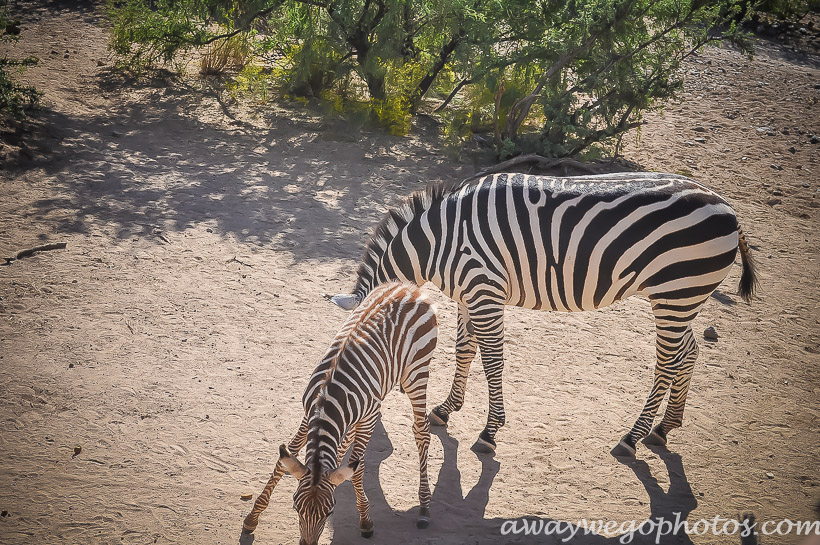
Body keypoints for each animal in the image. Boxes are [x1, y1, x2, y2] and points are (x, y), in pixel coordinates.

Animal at [242, 282, 438, 540]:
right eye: (295, 507)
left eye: (329, 512)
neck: (327, 400)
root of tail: (407, 286)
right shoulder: (308, 412)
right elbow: (289, 451)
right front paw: (253, 516)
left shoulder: (370, 417)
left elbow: (358, 467)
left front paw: (365, 521)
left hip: (417, 371)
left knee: (421, 429)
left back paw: (425, 506)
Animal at [326, 170, 756, 454]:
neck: (437, 243)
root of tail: (728, 208)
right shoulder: (468, 294)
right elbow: (464, 350)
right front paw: (447, 409)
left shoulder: (483, 291)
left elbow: (493, 360)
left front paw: (490, 431)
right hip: (683, 297)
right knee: (689, 352)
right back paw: (665, 428)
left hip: (676, 291)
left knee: (667, 361)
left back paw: (632, 437)